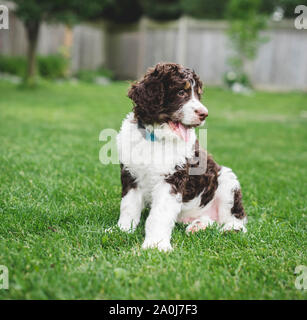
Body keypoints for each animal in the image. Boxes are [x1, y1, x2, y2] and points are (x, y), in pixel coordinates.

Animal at [116, 62, 247, 251]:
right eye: (180, 92)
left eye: (198, 94)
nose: (204, 113)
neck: (156, 138)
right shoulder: (130, 174)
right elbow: (128, 206)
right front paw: (122, 230)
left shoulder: (172, 179)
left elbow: (158, 215)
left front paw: (156, 245)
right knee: (212, 221)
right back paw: (198, 226)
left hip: (227, 180)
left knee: (235, 218)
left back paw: (230, 228)